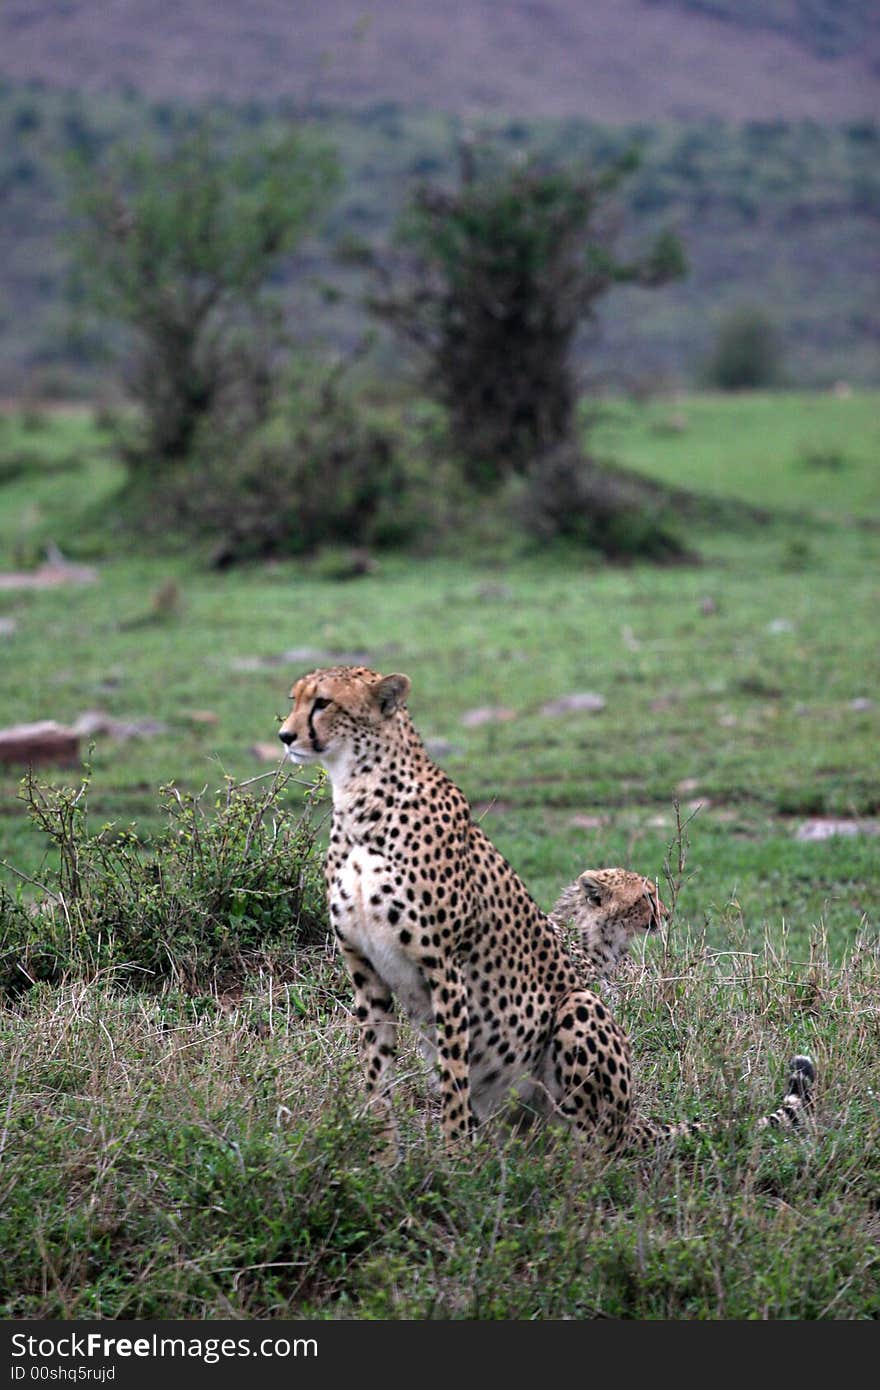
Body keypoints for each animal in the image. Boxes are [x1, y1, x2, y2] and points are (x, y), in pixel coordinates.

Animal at [278, 667, 811, 1156]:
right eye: (299, 699)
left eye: (322, 702)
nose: (285, 735)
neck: (360, 800)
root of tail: (633, 1117)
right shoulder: (368, 971)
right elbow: (379, 1077)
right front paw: (389, 1161)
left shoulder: (444, 967)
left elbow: (451, 1078)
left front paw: (451, 1165)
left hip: (578, 1012)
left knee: (594, 1144)